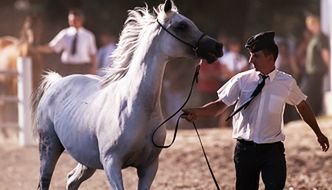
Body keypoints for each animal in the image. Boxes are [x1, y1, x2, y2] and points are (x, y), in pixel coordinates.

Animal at [33, 0, 223, 189]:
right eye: (181, 26)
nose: (218, 47)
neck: (137, 106)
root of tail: (57, 82)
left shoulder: (149, 167)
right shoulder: (111, 164)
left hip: (86, 160)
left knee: (72, 180)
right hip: (49, 148)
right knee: (45, 181)